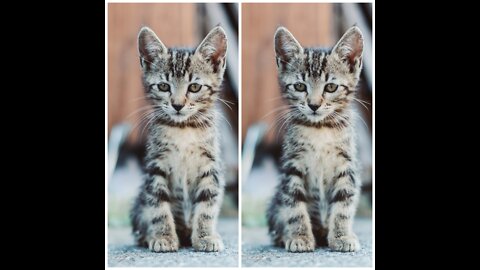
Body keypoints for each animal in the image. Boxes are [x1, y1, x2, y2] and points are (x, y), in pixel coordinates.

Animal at [130, 26, 228, 252]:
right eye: (164, 87)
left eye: (194, 87)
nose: (177, 105)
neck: (183, 128)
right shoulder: (155, 166)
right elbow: (158, 205)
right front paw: (163, 237)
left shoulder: (211, 166)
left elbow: (207, 205)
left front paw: (205, 237)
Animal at [266, 26, 364, 252]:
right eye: (300, 87)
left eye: (331, 87)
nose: (313, 105)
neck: (320, 128)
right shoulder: (292, 167)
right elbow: (294, 205)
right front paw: (300, 237)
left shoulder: (347, 166)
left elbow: (344, 205)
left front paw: (342, 236)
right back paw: (285, 235)